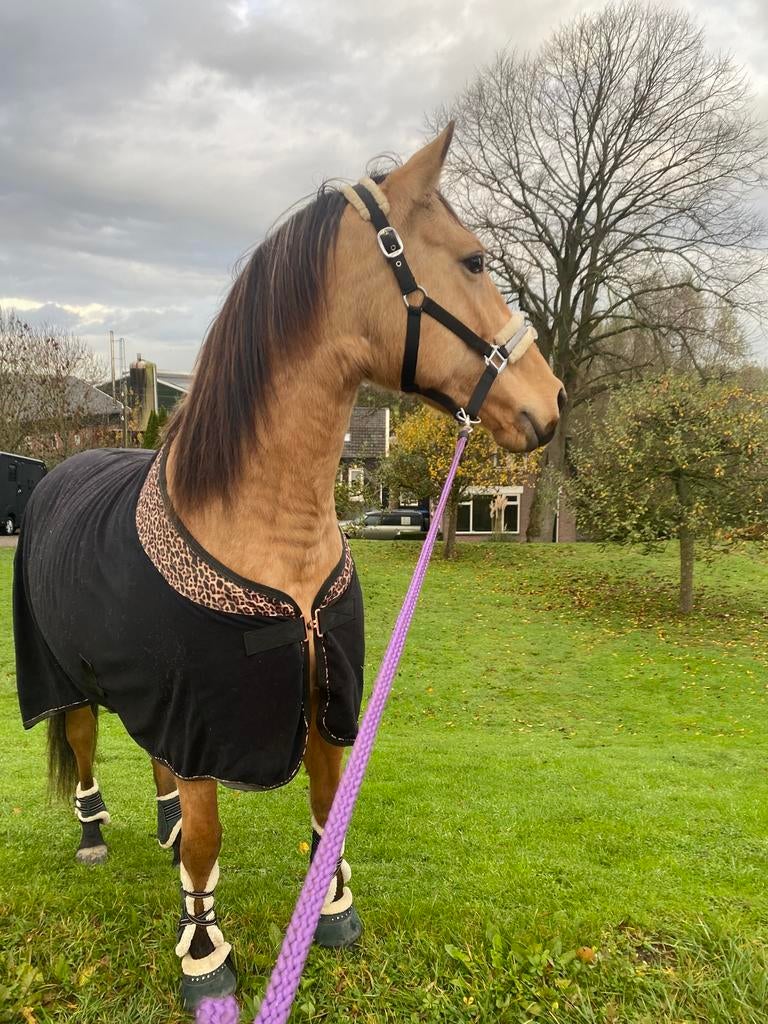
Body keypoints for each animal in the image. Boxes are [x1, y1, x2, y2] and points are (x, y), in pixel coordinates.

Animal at [13, 123, 565, 1012]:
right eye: (476, 261)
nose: (549, 402)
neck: (271, 529)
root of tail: (64, 466)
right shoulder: (208, 709)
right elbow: (209, 843)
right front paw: (204, 956)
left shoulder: (319, 691)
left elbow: (325, 801)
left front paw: (330, 909)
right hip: (67, 673)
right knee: (86, 736)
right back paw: (94, 833)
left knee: (156, 757)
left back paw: (160, 821)